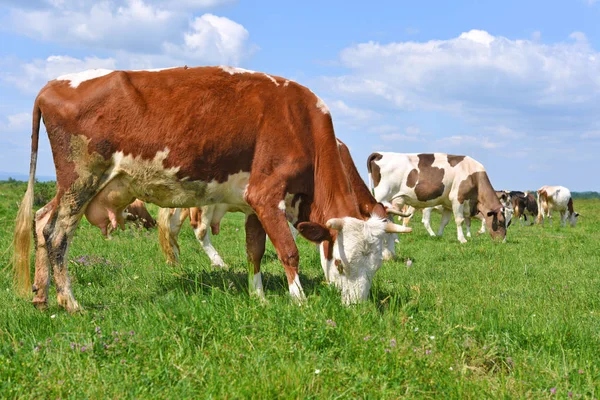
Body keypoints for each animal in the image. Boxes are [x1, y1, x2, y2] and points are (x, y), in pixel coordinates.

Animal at [366, 152, 506, 244]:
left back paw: (395, 240)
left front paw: (439, 236)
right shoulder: (457, 198)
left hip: (396, 201)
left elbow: (444, 221)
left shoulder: (448, 204)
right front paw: (462, 239)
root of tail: (380, 153)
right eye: (500, 222)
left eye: (508, 223)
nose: (503, 241)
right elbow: (459, 220)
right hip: (383, 197)